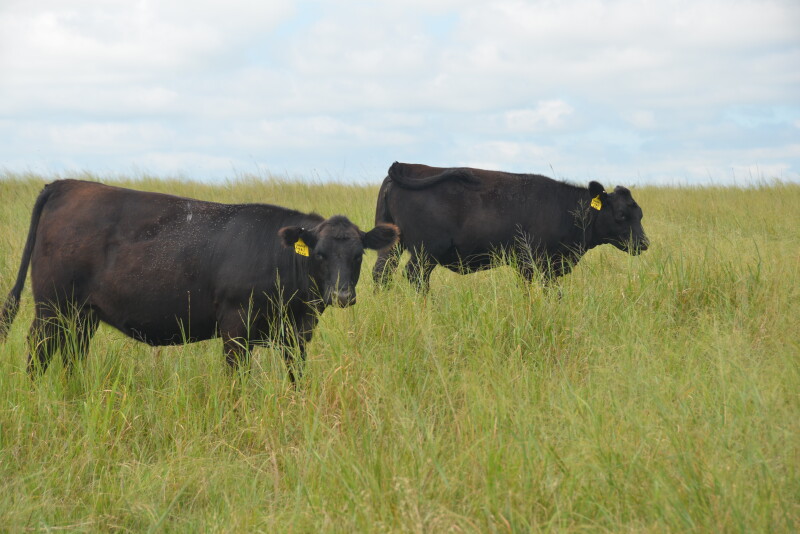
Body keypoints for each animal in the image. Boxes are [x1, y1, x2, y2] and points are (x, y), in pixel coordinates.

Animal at [0, 179, 398, 381]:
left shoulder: (297, 331)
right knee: (38, 351)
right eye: (320, 255)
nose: (342, 295)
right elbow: (237, 380)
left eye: (358, 255)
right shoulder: (235, 326)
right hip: (51, 307)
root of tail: (65, 184)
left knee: (71, 355)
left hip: (82, 314)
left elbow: (295, 375)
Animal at [372, 162, 648, 291]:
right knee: (415, 277)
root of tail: (408, 166)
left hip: (392, 245)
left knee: (381, 274)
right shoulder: (535, 262)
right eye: (621, 215)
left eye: (640, 214)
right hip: (426, 252)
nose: (644, 243)